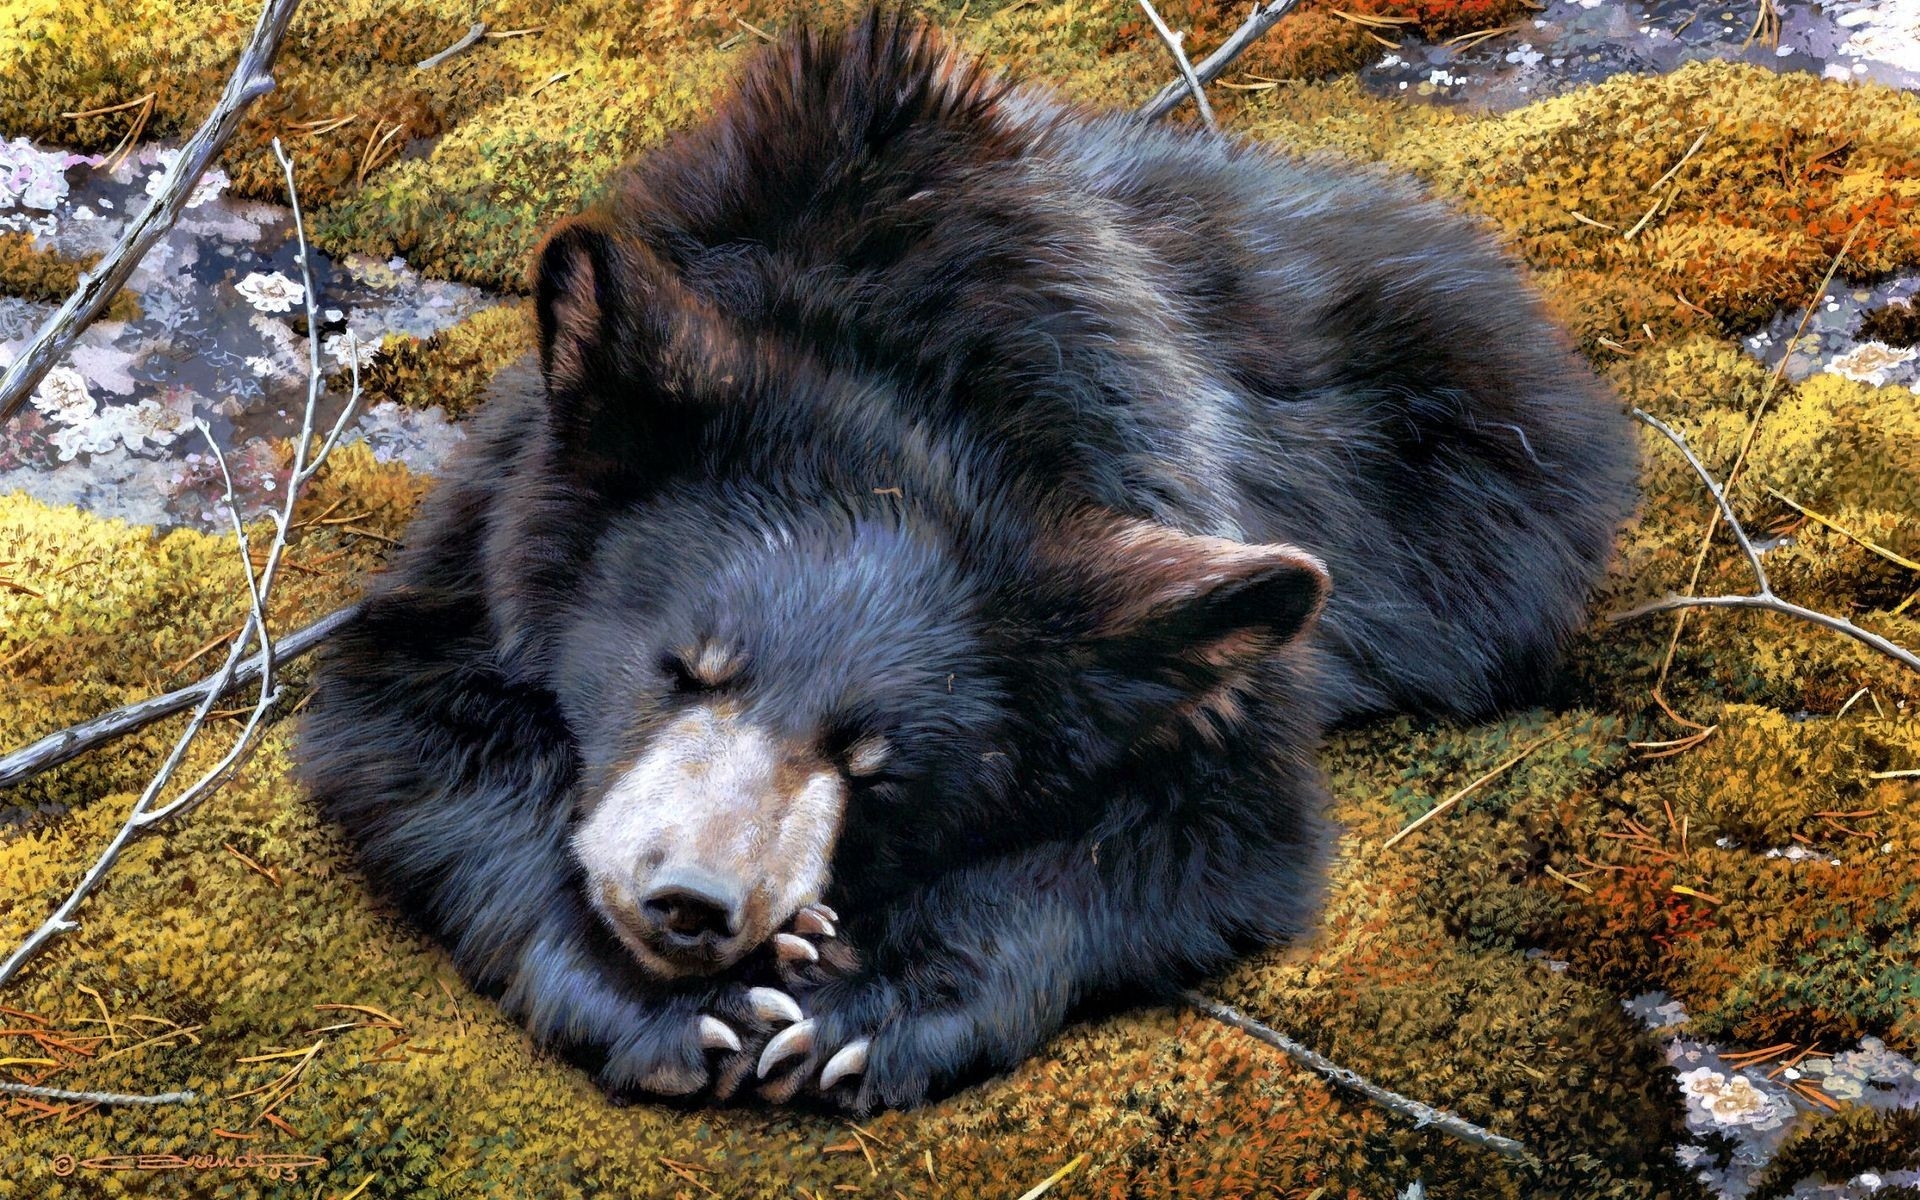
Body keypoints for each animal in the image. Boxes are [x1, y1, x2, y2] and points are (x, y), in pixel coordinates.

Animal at [298, 9, 1637, 1113]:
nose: (692, 903)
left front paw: (862, 1001)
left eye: (874, 765)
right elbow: (408, 732)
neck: (910, 381)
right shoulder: (491, 520)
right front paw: (680, 1008)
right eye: (682, 667)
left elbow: (1212, 828)